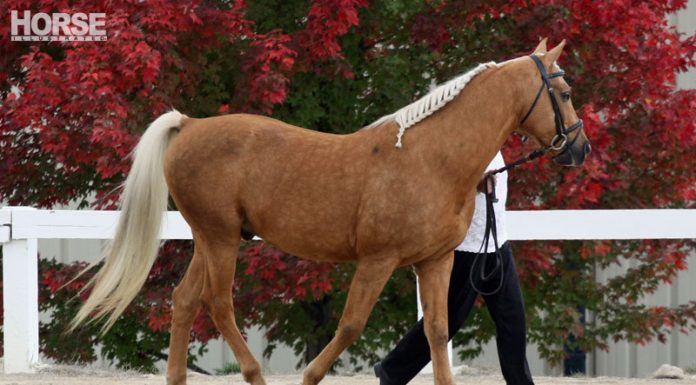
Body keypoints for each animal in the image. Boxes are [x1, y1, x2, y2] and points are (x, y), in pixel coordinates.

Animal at [75, 39, 588, 384]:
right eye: (563, 93)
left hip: (210, 237)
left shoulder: (435, 262)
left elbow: (437, 332)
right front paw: (309, 376)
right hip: (219, 239)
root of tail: (190, 125)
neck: (432, 158)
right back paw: (255, 374)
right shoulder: (377, 261)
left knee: (184, 300)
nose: (580, 148)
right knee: (218, 305)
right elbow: (350, 325)